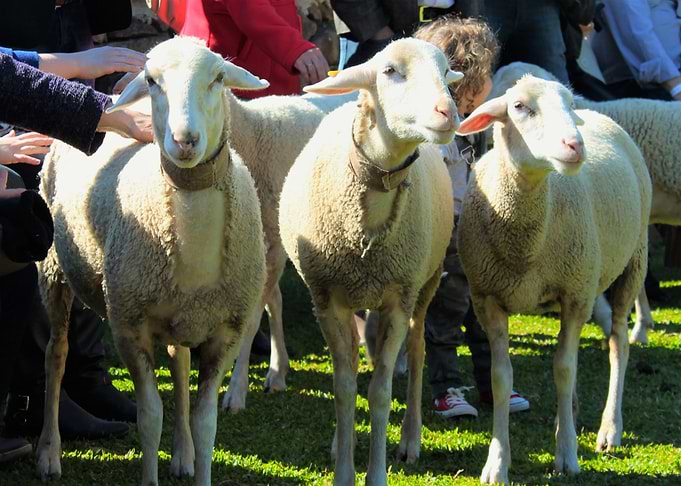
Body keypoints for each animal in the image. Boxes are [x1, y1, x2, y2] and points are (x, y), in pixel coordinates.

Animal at [35, 37, 267, 486]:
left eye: (218, 78)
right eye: (152, 80)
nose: (185, 140)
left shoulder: (226, 333)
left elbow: (206, 423)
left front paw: (195, 456)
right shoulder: (129, 325)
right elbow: (149, 418)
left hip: (180, 312)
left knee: (178, 363)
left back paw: (183, 455)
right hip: (53, 269)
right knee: (56, 356)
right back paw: (49, 453)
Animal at [279, 38, 463, 485]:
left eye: (444, 70)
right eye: (390, 71)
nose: (448, 113)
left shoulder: (399, 298)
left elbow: (380, 392)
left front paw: (375, 473)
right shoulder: (326, 299)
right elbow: (344, 386)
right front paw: (343, 469)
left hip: (425, 284)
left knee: (416, 351)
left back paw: (410, 438)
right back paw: (337, 443)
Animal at [456, 75, 651, 484]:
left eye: (568, 104)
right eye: (519, 107)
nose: (575, 145)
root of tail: (597, 116)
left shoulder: (574, 295)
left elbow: (563, 369)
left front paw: (567, 455)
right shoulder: (487, 299)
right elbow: (500, 378)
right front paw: (497, 463)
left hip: (632, 260)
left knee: (617, 344)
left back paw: (609, 429)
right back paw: (570, 416)